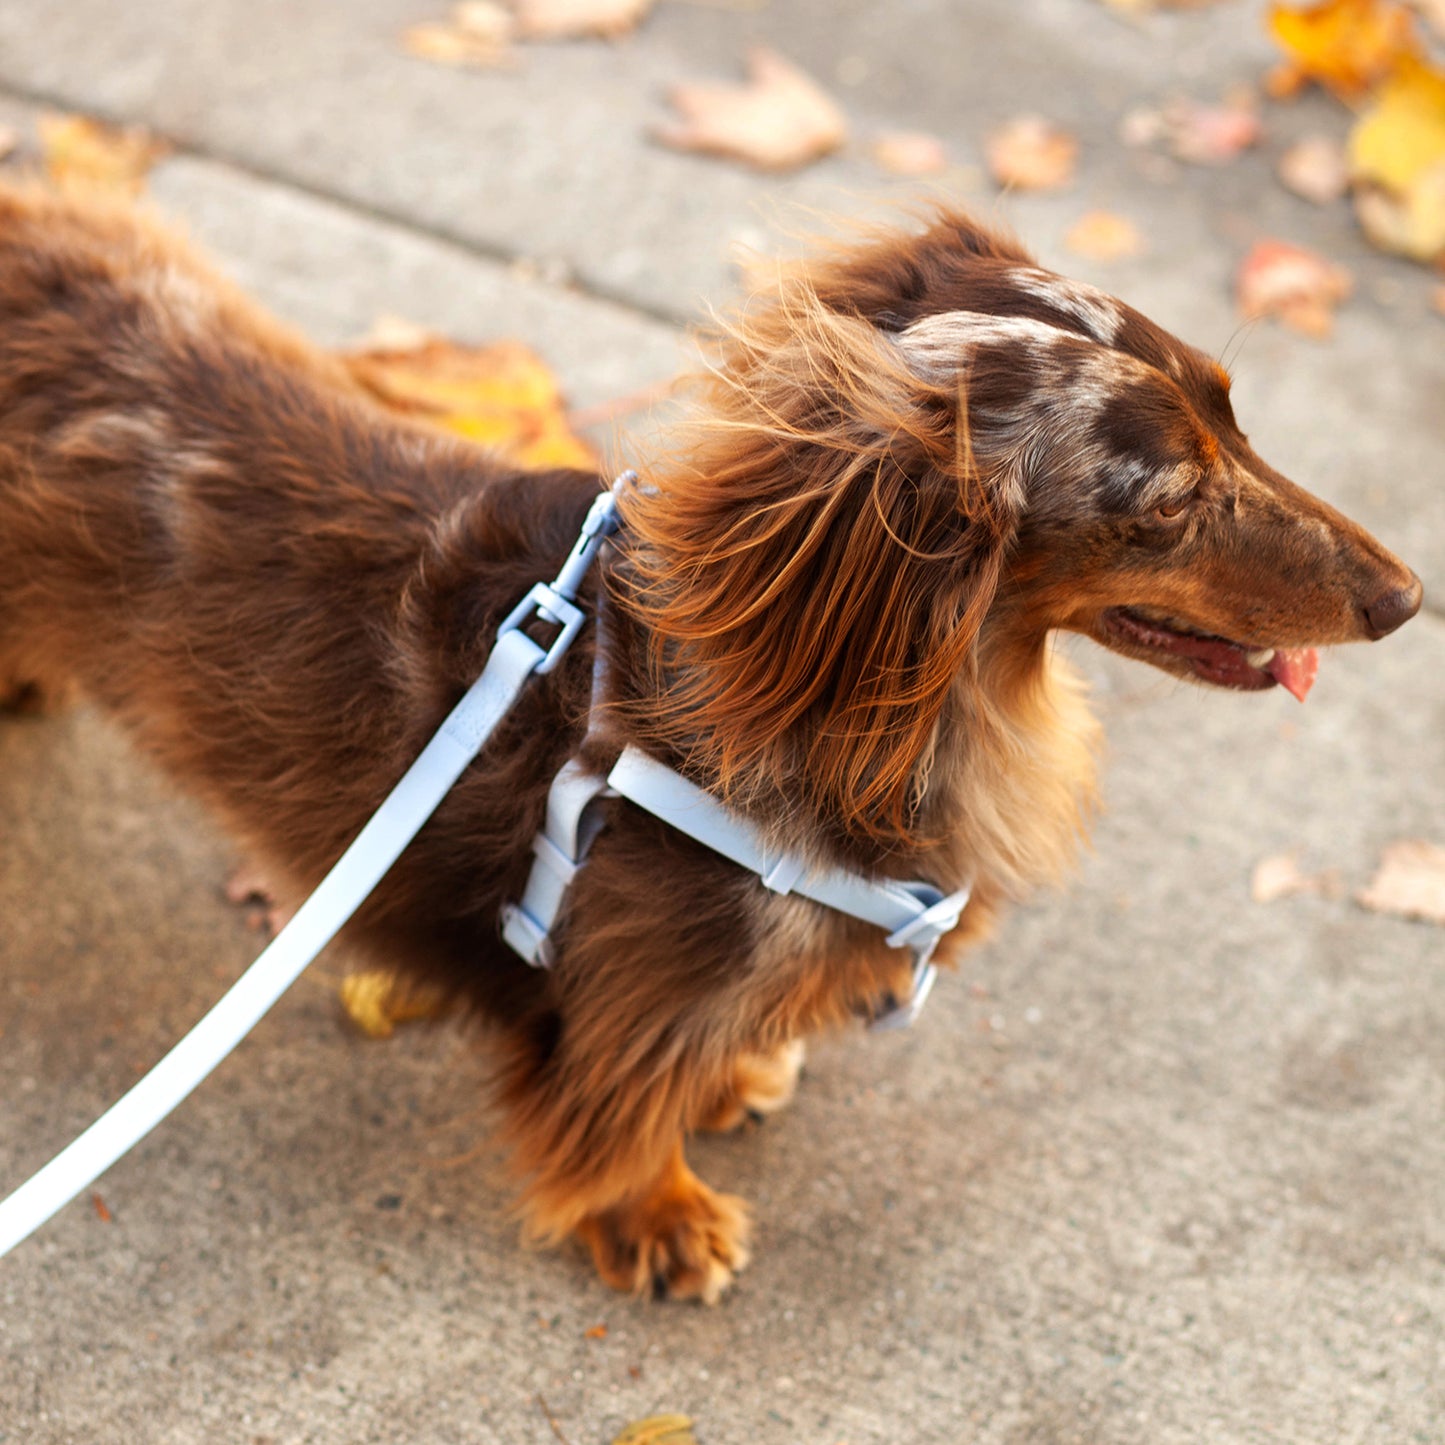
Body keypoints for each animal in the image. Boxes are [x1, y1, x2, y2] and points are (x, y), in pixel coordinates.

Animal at [0, 183, 1416, 1300]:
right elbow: (624, 1109)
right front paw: (659, 1216)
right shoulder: (632, 1003)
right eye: (1166, 503)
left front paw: (734, 1082)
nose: (1403, 598)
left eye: (1236, 415)